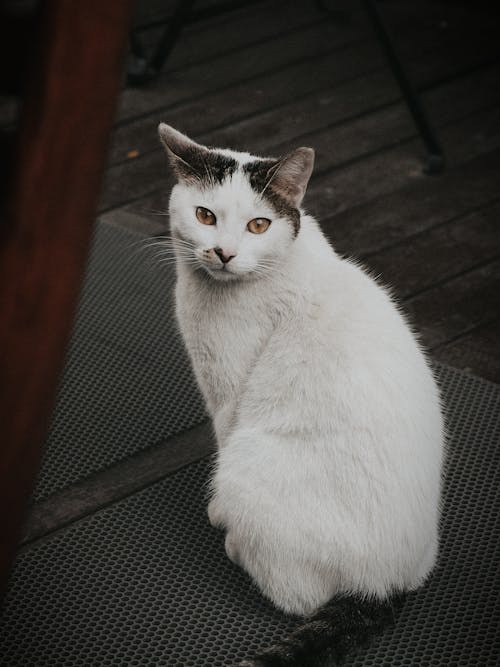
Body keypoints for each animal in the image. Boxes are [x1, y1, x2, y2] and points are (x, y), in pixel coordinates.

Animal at [158, 122, 444, 664]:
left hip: (249, 462)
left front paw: (217, 515)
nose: (223, 252)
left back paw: (236, 543)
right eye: (205, 216)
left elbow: (221, 436)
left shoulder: (228, 395)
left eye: (258, 225)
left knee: (298, 597)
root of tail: (383, 586)